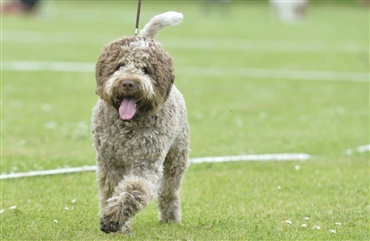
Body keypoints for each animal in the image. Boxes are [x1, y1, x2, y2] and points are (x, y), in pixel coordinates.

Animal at [91, 11, 191, 233]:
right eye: (119, 66)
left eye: (145, 69)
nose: (128, 83)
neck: (128, 125)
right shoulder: (110, 163)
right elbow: (111, 190)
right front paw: (120, 224)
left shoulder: (146, 164)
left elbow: (132, 190)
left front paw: (113, 218)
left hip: (177, 156)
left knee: (169, 190)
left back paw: (170, 218)